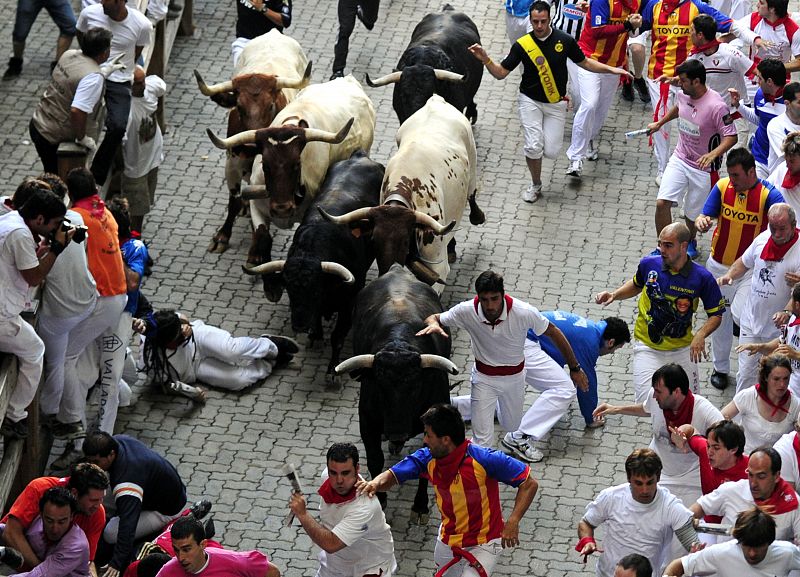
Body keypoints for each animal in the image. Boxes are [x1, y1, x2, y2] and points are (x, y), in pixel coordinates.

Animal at [336, 264, 456, 520]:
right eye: (379, 386)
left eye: (416, 386)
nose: (397, 431)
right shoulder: (368, 422)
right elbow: (375, 459)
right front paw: (379, 499)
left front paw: (420, 506)